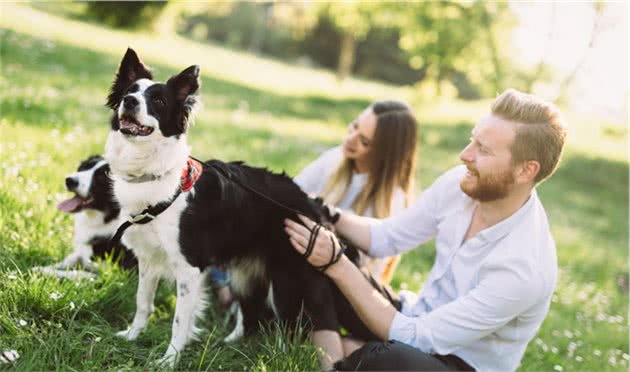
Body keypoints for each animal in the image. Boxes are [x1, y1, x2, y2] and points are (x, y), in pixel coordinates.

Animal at [107, 48, 348, 366]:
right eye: (129, 92)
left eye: (158, 101)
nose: (130, 102)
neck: (154, 172)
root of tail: (313, 204)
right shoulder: (148, 258)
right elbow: (143, 302)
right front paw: (133, 336)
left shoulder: (190, 267)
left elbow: (179, 321)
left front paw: (169, 360)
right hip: (245, 274)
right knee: (250, 317)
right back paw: (230, 345)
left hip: (286, 281)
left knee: (289, 329)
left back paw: (277, 358)